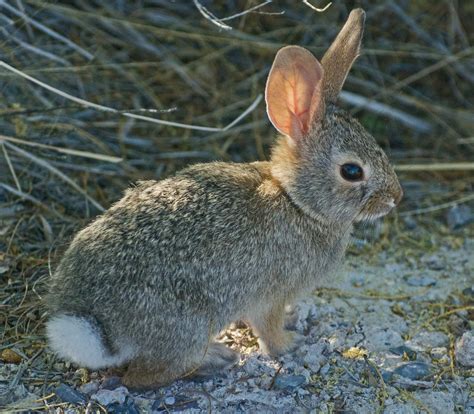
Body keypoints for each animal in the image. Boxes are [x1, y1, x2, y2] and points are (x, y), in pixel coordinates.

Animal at [46, 8, 404, 390]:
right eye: (352, 171)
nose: (395, 197)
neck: (296, 201)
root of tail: (95, 327)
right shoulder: (271, 297)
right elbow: (269, 331)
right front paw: (291, 344)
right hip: (188, 323)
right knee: (141, 377)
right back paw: (217, 358)